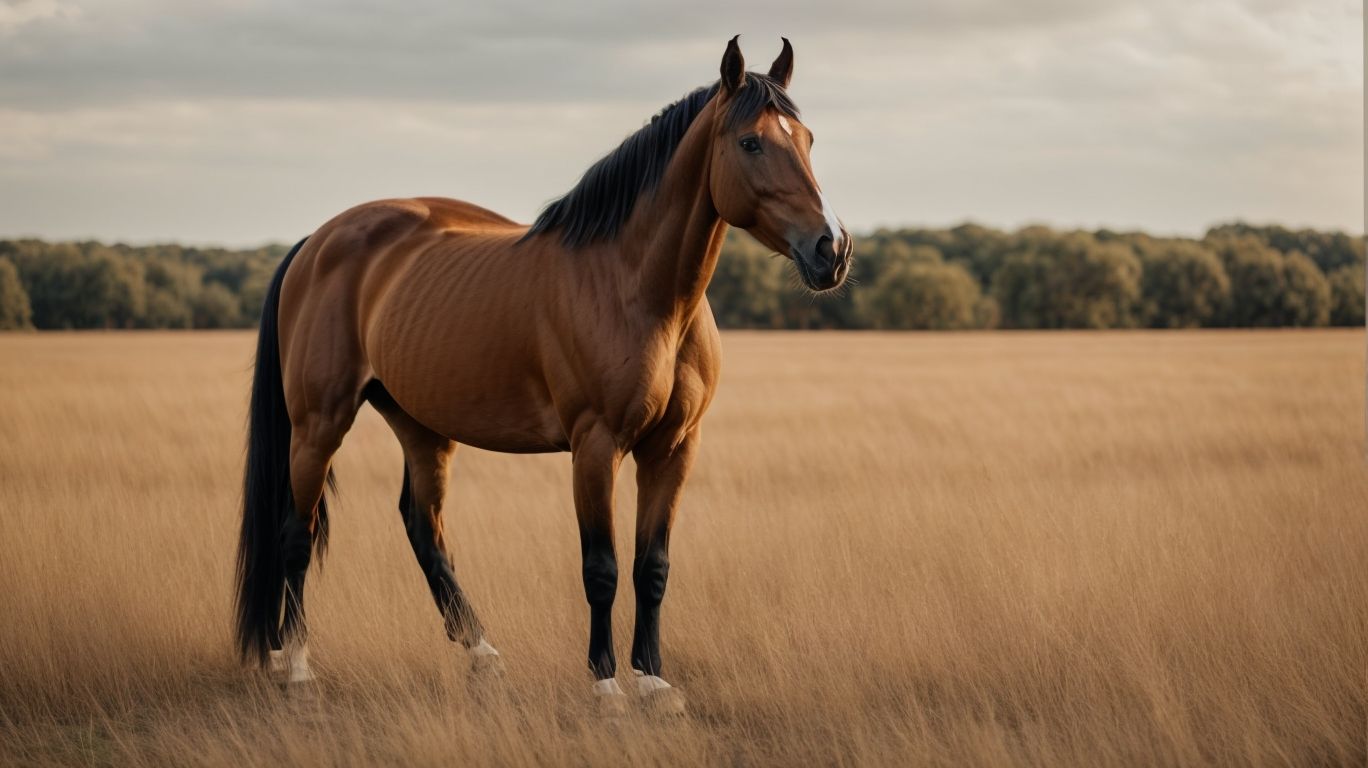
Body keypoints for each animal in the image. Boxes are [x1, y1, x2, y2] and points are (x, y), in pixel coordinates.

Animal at [234, 36, 852, 713]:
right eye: (751, 143)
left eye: (807, 139)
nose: (832, 249)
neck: (637, 289)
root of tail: (317, 242)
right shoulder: (596, 447)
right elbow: (602, 568)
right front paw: (607, 686)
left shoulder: (674, 448)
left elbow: (653, 567)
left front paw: (653, 680)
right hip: (319, 424)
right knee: (297, 533)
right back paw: (298, 668)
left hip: (421, 426)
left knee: (424, 529)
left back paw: (480, 655)